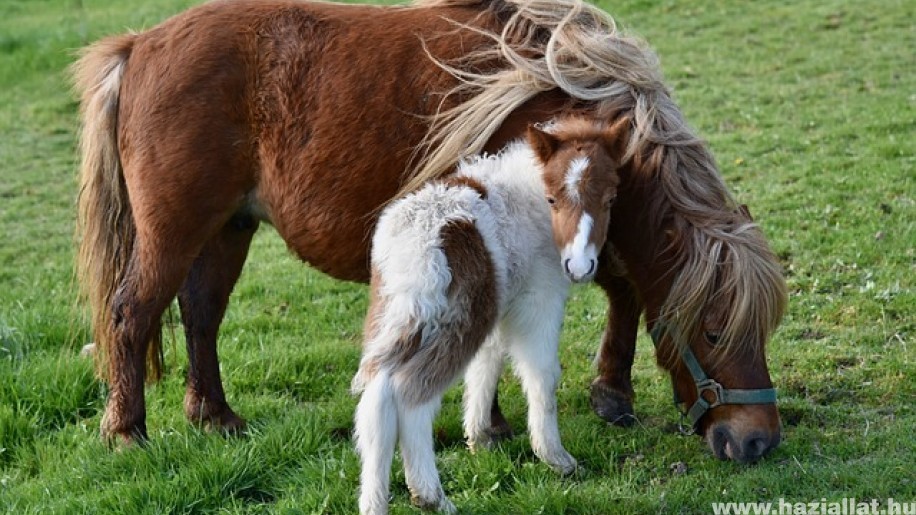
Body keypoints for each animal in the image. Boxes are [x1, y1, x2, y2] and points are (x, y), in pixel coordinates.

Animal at [71, 0, 788, 464]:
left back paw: (215, 417)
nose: (757, 439)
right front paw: (497, 427)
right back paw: (128, 432)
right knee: (132, 313)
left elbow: (624, 287)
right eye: (714, 331)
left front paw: (610, 392)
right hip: (174, 230)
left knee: (200, 315)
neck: (559, 93)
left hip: (227, 228)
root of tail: (140, 46)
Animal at [352, 119, 628, 512]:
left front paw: (480, 439)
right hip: (456, 322)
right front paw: (556, 459)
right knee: (410, 395)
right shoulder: (538, 299)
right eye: (552, 199)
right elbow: (542, 375)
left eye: (610, 199)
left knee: (377, 398)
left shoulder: (499, 307)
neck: (527, 203)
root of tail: (419, 244)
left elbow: (487, 365)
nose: (579, 266)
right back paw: (432, 497)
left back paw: (375, 502)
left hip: (397, 317)